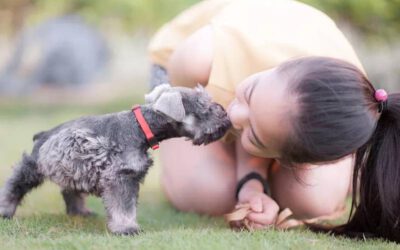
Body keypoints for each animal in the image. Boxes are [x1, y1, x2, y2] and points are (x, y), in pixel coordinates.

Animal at [0, 85, 231, 235]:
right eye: (203, 106)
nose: (225, 115)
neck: (139, 128)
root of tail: (45, 134)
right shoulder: (120, 178)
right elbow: (123, 206)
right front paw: (126, 228)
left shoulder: (132, 179)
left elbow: (129, 206)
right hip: (32, 167)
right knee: (14, 184)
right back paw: (5, 210)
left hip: (72, 169)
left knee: (69, 191)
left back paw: (80, 212)